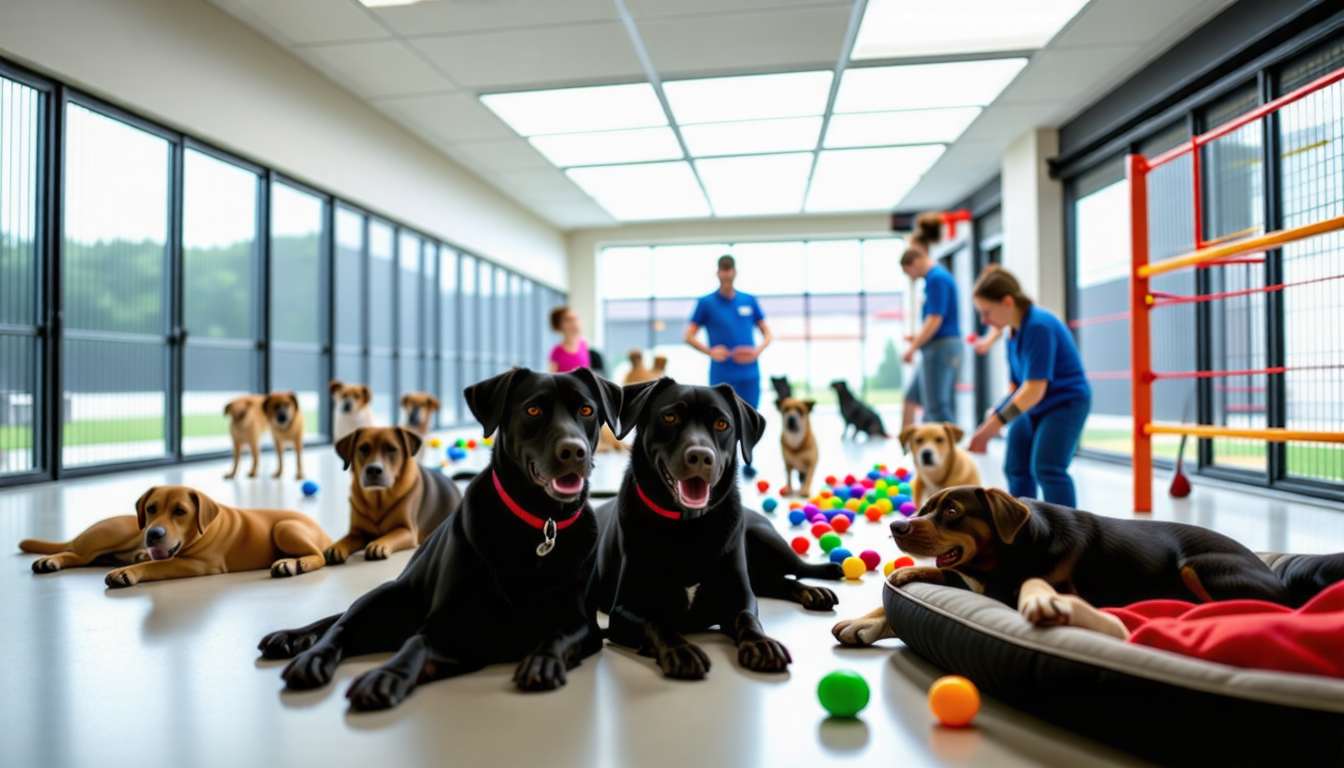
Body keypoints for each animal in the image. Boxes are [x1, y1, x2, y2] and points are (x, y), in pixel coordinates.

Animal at [19, 486, 333, 589]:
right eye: (151, 508)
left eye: (180, 512)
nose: (153, 533)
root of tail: (327, 535)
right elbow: (152, 560)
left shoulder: (197, 564)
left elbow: (152, 564)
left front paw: (127, 572)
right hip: (120, 532)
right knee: (78, 554)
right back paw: (51, 560)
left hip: (284, 528)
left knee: (318, 557)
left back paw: (293, 564)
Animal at [322, 427, 459, 564]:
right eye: (363, 448)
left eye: (391, 448)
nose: (373, 469)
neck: (377, 500)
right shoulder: (357, 532)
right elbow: (346, 538)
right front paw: (336, 547)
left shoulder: (407, 530)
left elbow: (392, 534)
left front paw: (379, 544)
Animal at [591, 379, 833, 677]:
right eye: (670, 417)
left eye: (721, 424)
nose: (700, 456)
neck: (688, 526)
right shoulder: (624, 609)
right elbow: (656, 621)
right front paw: (680, 649)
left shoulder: (739, 597)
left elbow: (747, 617)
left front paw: (760, 643)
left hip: (766, 539)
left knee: (796, 569)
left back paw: (818, 586)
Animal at [827, 486, 1290, 648]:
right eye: (924, 509)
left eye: (953, 511)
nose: (897, 526)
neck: (1019, 547)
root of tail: (1278, 579)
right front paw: (866, 619)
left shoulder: (1007, 589)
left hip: (1199, 565)